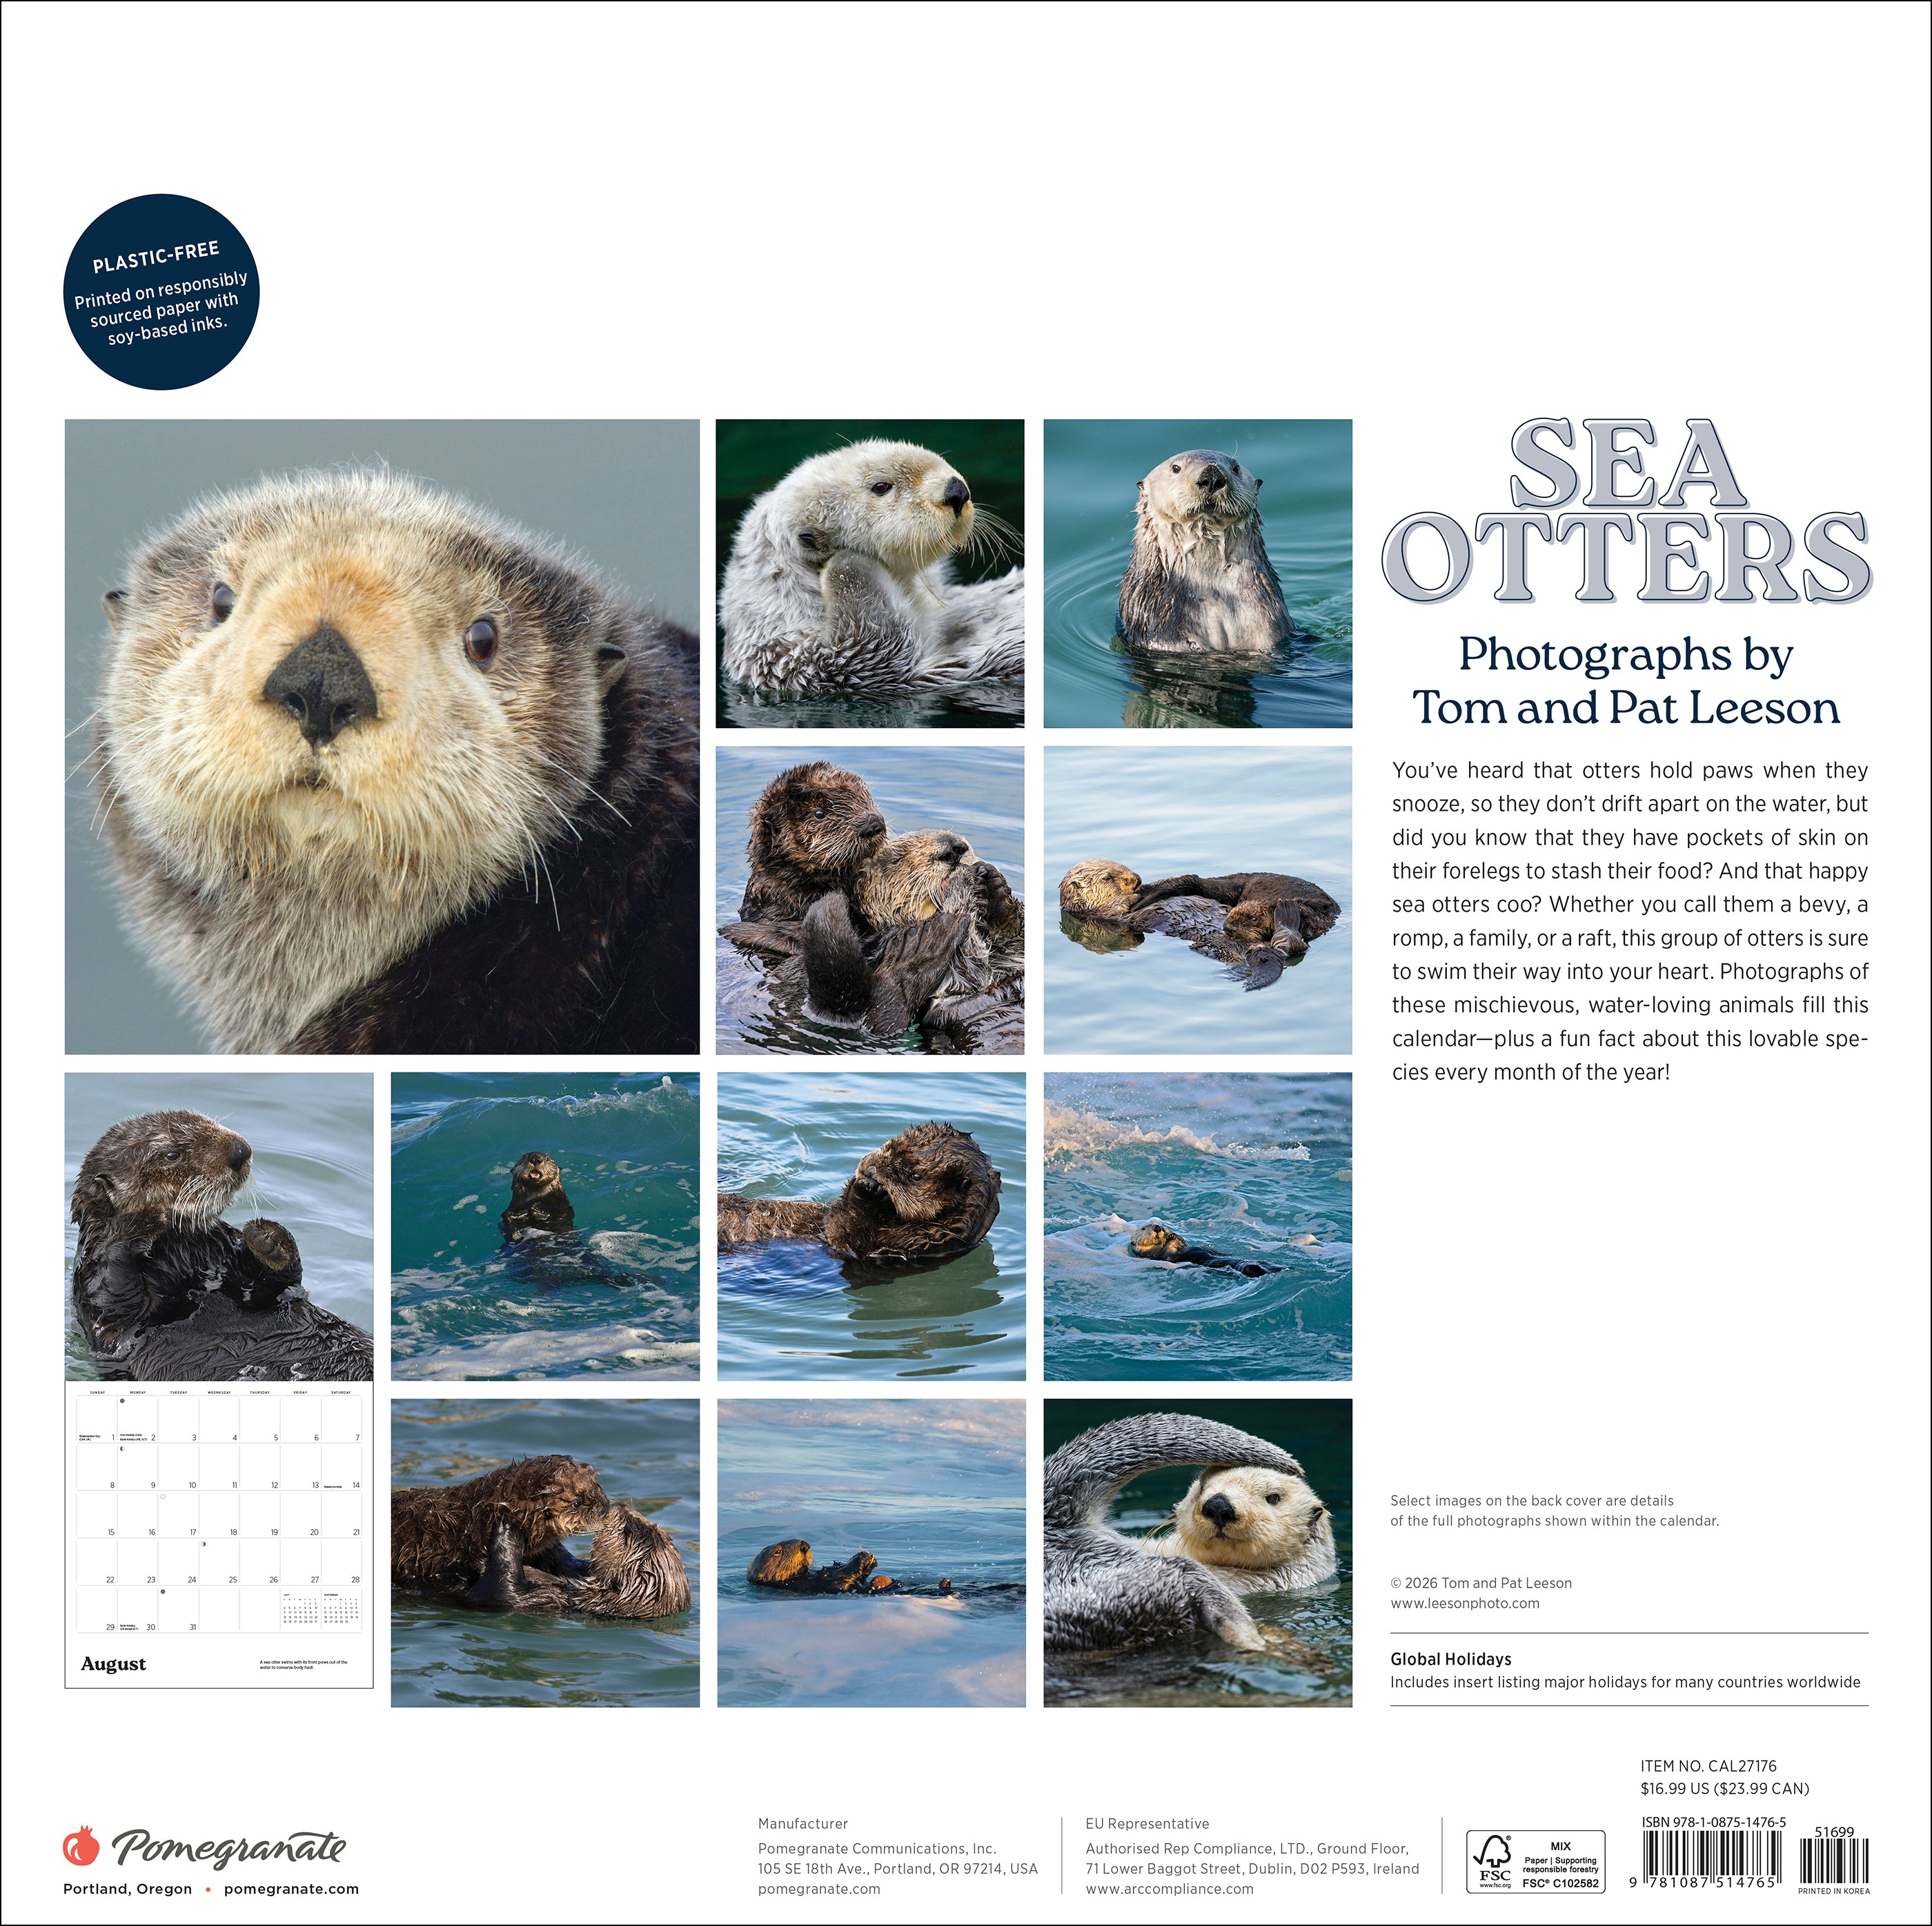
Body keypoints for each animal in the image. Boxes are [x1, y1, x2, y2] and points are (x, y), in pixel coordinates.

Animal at [467, 1503, 690, 1618]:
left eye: (630, 1530)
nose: (619, 1504)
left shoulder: (542, 1599)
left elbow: (500, 1590)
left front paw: (508, 1525)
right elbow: (567, 1563)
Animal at [718, 1121, 1001, 1266]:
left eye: (916, 1176)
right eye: (888, 1145)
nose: (870, 1168)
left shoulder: (908, 1245)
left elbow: (844, 1231)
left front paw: (869, 1189)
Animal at [1117, 449, 1304, 653]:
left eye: (1236, 468)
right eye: (1176, 468)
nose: (1212, 475)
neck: (1214, 591)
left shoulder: (1268, 612)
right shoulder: (1159, 617)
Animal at [1129, 1221, 1280, 1279]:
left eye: (1158, 1225)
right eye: (1144, 1228)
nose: (1157, 1228)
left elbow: (1184, 1243)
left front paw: (1171, 1234)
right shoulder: (1160, 1256)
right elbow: (1167, 1252)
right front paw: (1170, 1238)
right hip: (1248, 1268)